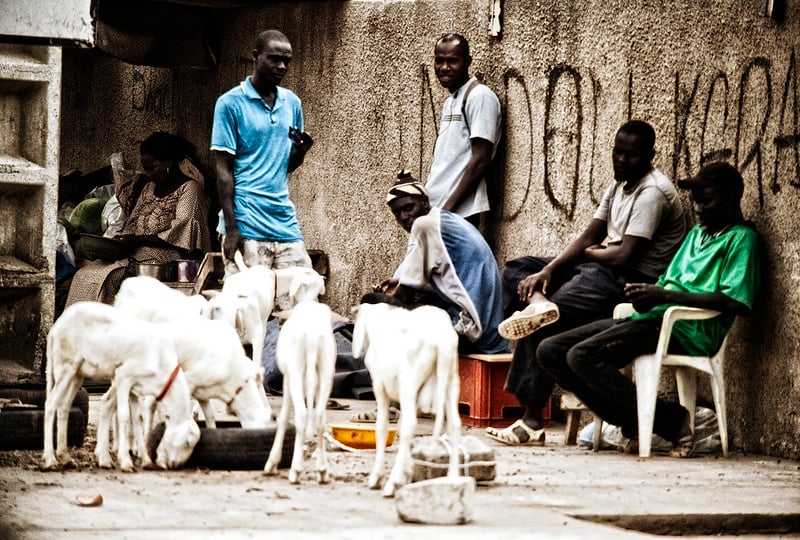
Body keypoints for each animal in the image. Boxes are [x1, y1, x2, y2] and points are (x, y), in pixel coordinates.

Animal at [44, 302, 200, 470]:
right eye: (187, 443)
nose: (177, 465)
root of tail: (56, 327)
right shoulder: (124, 377)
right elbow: (124, 416)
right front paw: (125, 461)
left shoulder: (135, 388)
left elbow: (137, 419)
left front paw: (145, 460)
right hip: (64, 366)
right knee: (51, 404)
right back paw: (50, 459)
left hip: (77, 374)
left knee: (64, 407)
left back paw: (65, 457)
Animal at [264, 272, 336, 484]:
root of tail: (311, 338)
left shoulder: (287, 379)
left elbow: (284, 417)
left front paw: (272, 463)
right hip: (326, 373)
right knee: (319, 417)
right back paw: (323, 471)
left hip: (296, 372)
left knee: (302, 416)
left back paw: (295, 470)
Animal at [352, 302, 460, 496]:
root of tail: (442, 340)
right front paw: (407, 474)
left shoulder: (380, 387)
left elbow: (382, 428)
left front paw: (377, 477)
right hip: (451, 381)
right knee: (454, 425)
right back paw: (453, 479)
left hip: (409, 383)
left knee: (410, 425)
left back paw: (391, 484)